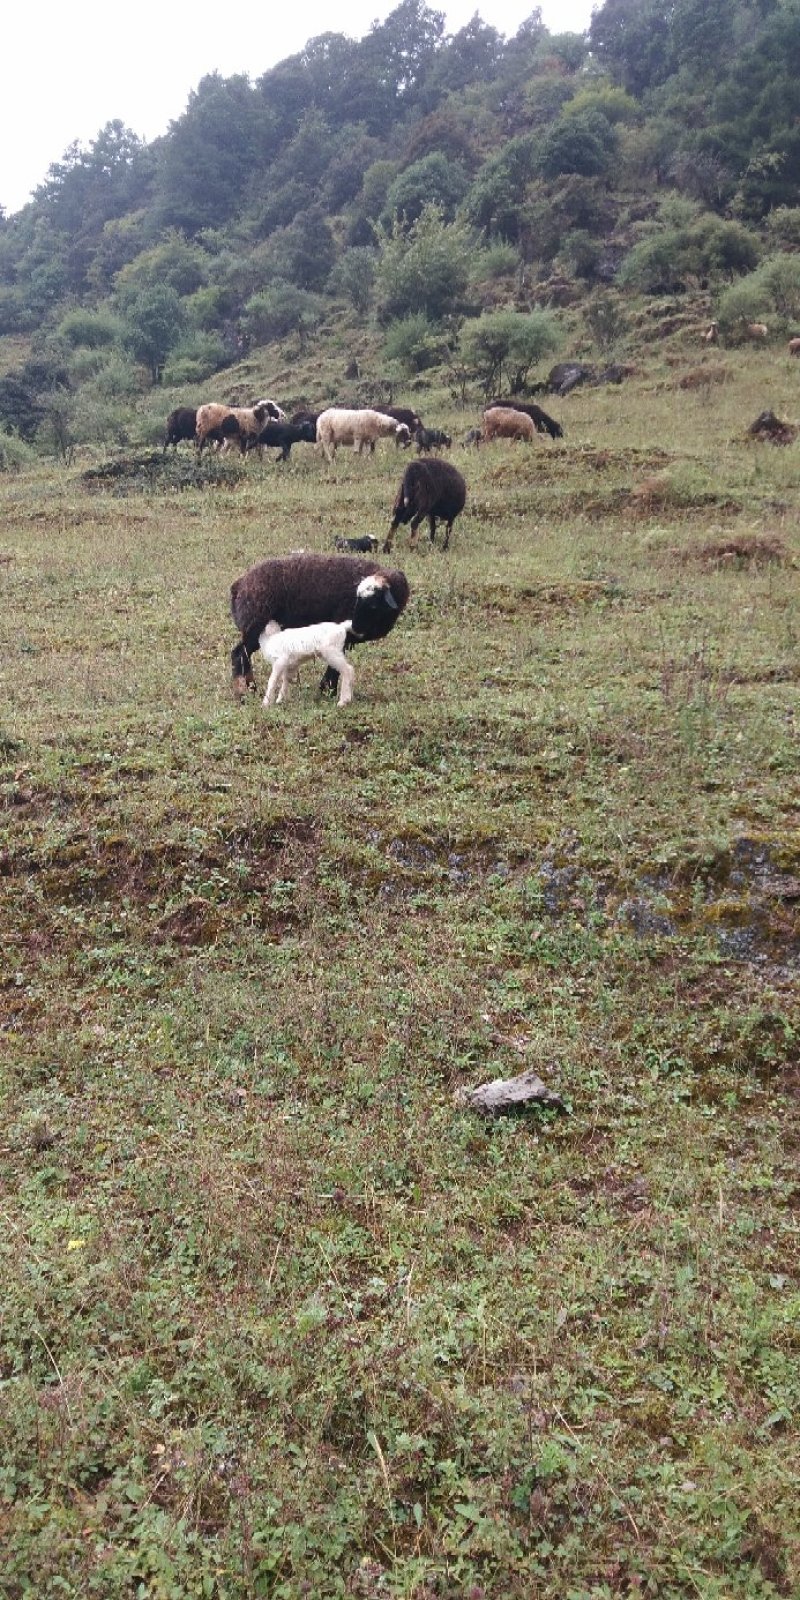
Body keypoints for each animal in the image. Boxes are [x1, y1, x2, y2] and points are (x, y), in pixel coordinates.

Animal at [228, 553, 409, 697]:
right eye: (359, 600)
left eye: (373, 604)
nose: (355, 626)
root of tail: (238, 585)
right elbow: (334, 666)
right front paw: (328, 690)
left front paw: (327, 689)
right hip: (254, 625)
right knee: (239, 654)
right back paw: (243, 691)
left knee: (244, 655)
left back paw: (251, 688)